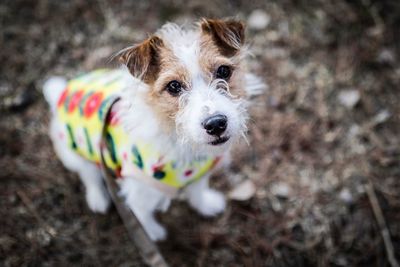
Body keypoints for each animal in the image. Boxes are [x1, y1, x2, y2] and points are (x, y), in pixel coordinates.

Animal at [43, 18, 266, 241]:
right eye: (174, 86)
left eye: (223, 71)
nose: (216, 123)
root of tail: (61, 93)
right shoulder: (140, 192)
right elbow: (142, 215)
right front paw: (152, 233)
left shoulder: (199, 175)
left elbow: (197, 190)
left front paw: (205, 204)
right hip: (76, 152)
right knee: (89, 175)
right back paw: (97, 198)